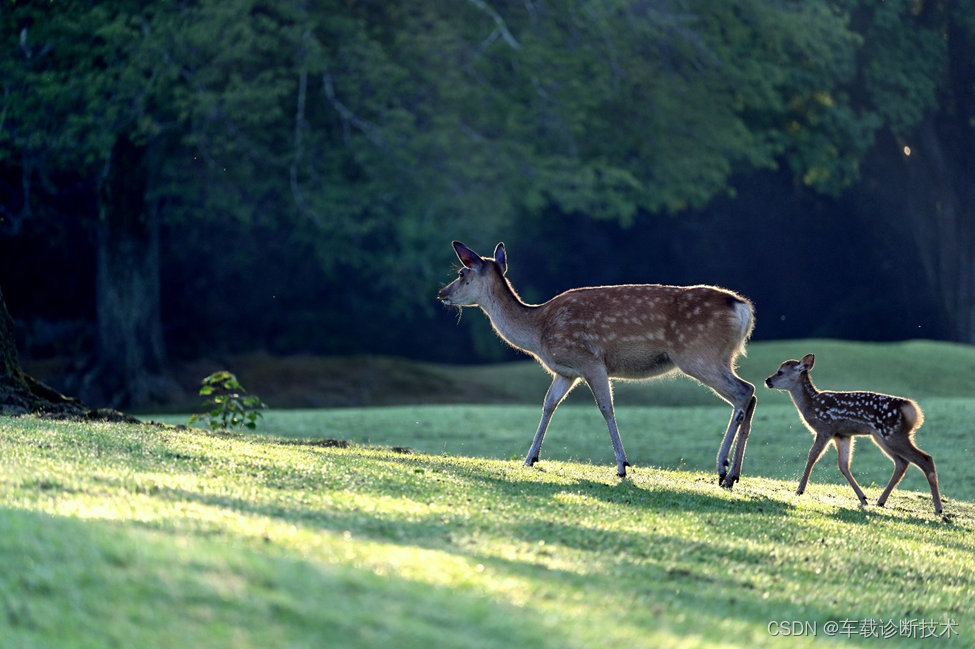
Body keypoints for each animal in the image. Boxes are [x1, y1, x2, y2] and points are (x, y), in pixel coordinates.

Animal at [438, 240, 760, 484]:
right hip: (719, 357)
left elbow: (606, 407)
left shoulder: (589, 360)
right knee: (751, 394)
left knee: (744, 391)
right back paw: (733, 475)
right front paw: (530, 458)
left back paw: (722, 467)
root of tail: (742, 309)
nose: (442, 293)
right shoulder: (565, 372)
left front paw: (622, 466)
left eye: (462, 274)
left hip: (698, 354)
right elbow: (548, 404)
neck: (538, 331)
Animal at [768, 352, 940, 512]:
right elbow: (843, 465)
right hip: (882, 437)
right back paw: (880, 501)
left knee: (925, 459)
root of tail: (912, 410)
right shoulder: (842, 435)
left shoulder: (825, 428)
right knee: (902, 462)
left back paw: (938, 509)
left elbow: (812, 456)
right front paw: (863, 498)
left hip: (892, 434)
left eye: (780, 372)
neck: (810, 404)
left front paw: (799, 490)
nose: (767, 380)